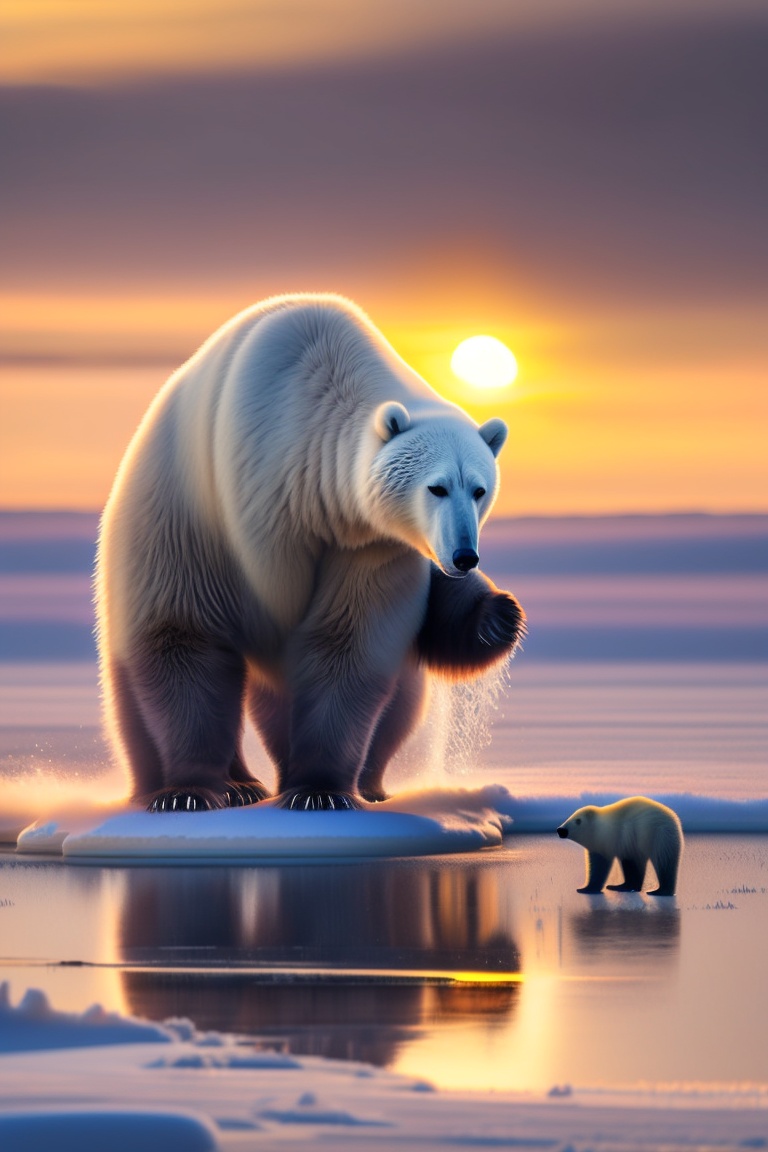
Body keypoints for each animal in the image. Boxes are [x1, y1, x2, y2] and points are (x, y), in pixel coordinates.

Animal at [95, 293, 525, 813]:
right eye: (436, 487)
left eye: (479, 490)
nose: (464, 556)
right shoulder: (254, 519)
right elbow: (229, 643)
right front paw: (205, 790)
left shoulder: (369, 546)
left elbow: (349, 646)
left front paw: (320, 789)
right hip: (161, 521)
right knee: (166, 650)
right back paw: (197, 787)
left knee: (401, 696)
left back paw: (366, 783)